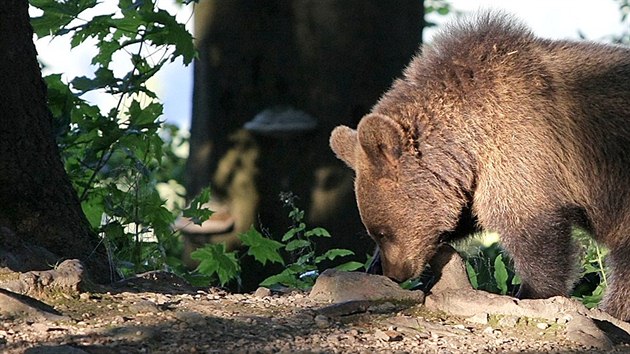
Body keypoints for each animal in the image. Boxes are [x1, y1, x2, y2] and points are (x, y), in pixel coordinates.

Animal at [330, 11, 630, 320]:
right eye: (373, 233)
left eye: (383, 231)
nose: (396, 273)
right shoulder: (474, 179)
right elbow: (465, 215)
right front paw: (372, 267)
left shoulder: (523, 151)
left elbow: (531, 230)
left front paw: (532, 292)